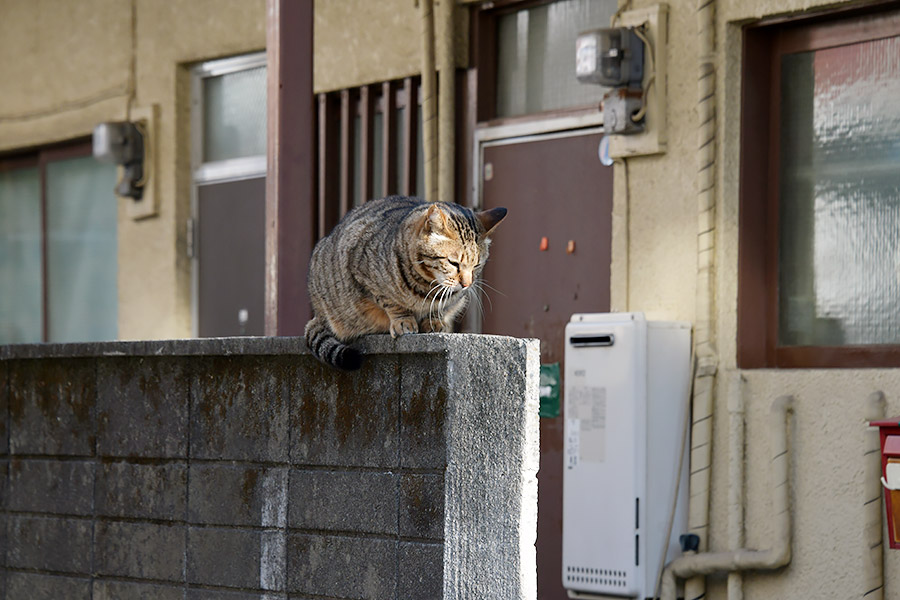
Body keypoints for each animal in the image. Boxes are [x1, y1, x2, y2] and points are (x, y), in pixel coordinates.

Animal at [306, 195, 506, 368]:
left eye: (476, 265)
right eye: (453, 263)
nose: (466, 284)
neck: (427, 287)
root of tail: (317, 313)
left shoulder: (454, 300)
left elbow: (440, 308)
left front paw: (435, 322)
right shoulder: (362, 274)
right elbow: (391, 302)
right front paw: (404, 321)